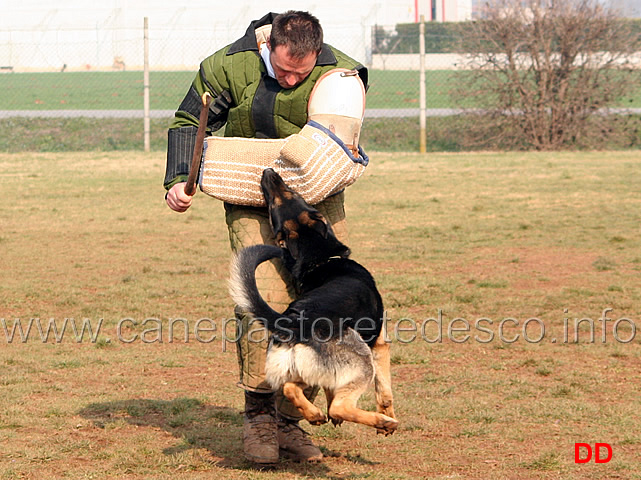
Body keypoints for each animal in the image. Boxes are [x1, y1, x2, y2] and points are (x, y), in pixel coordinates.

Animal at [228, 169, 398, 436]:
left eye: (290, 194)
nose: (268, 172)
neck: (319, 260)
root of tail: (290, 322)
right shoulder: (380, 344)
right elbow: (385, 389)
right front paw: (387, 416)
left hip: (297, 370)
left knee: (290, 388)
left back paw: (314, 414)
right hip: (362, 360)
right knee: (341, 406)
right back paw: (382, 421)